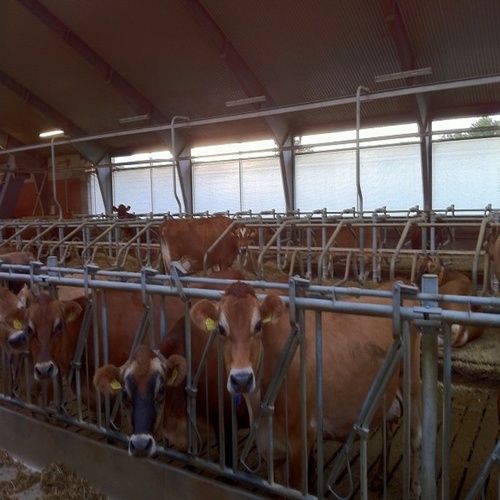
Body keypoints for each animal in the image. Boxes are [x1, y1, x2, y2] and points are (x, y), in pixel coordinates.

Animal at [191, 282, 422, 492]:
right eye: (221, 329)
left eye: (257, 326)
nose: (241, 379)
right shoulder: (272, 448)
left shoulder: (301, 440)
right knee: (389, 426)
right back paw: (378, 477)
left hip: (412, 386)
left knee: (415, 439)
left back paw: (415, 488)